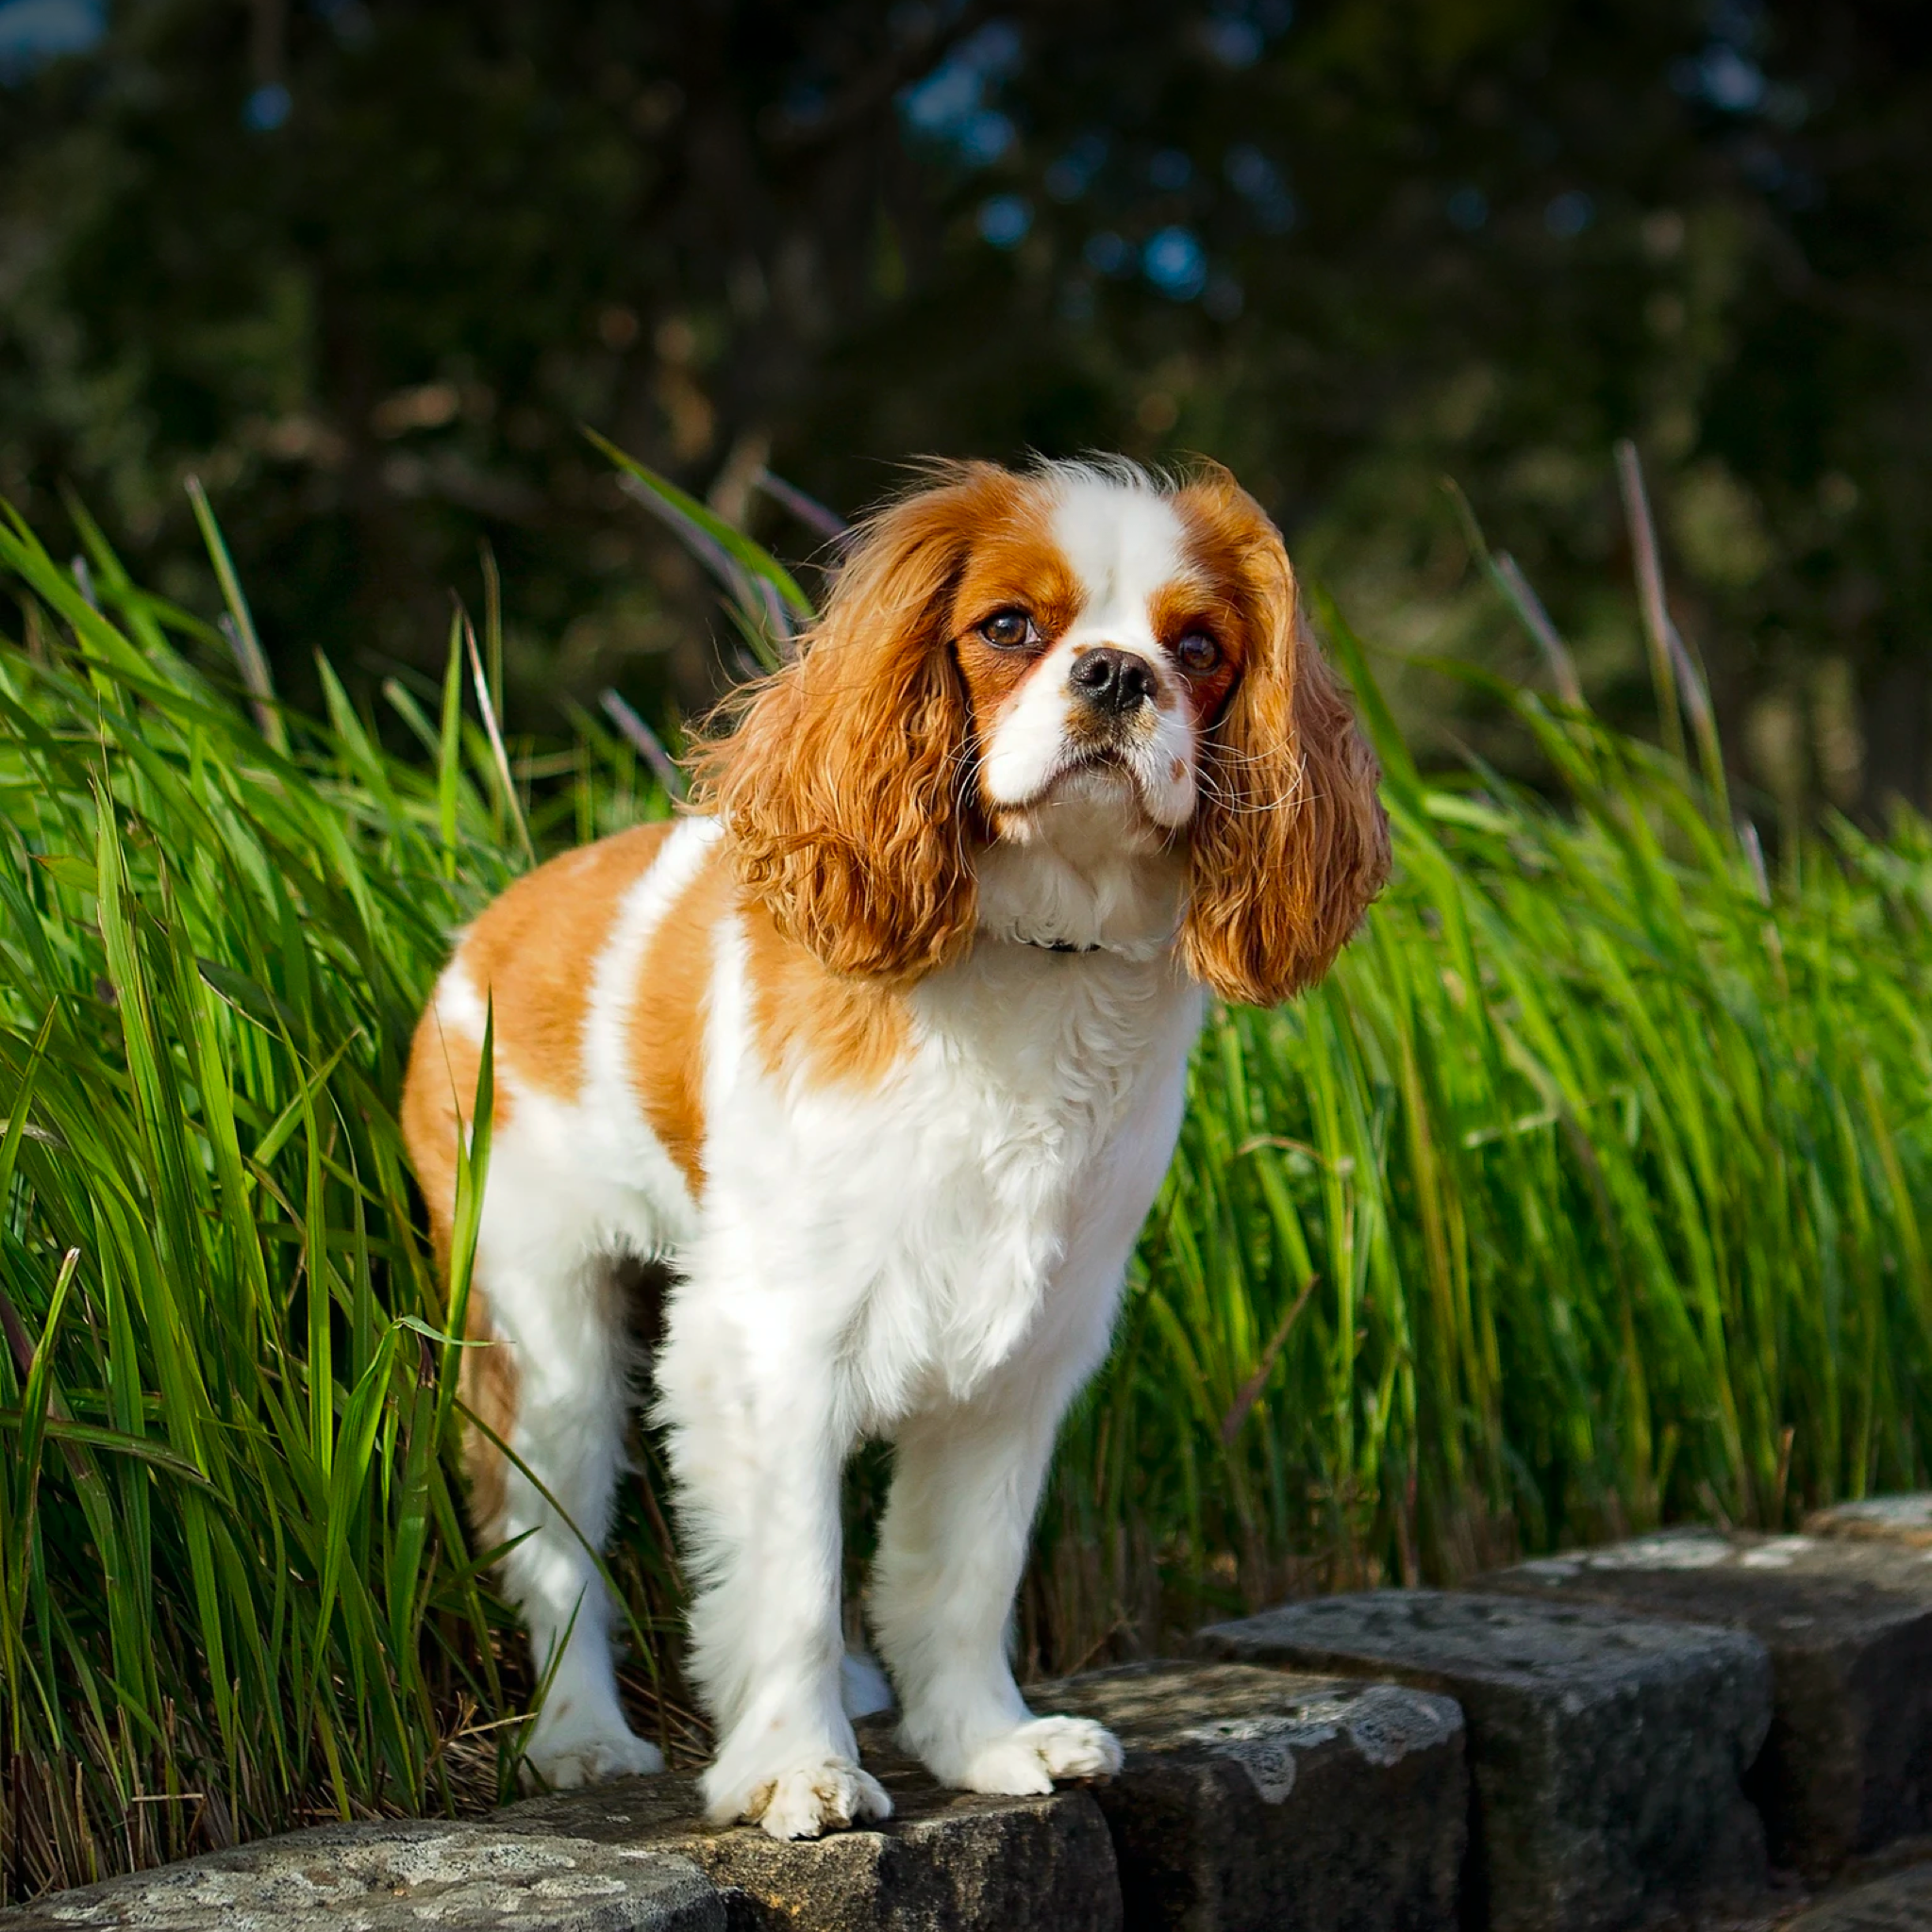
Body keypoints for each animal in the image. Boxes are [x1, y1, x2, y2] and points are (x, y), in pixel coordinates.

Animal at [399, 456, 1391, 1839]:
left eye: (1199, 649)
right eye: (1009, 627)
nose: (1116, 674)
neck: (1041, 956)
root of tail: (486, 934)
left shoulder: (1023, 1356)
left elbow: (960, 1571)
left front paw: (984, 1741)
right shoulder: (770, 1341)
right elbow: (792, 1577)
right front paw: (795, 1768)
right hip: (540, 1332)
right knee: (551, 1543)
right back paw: (580, 1737)